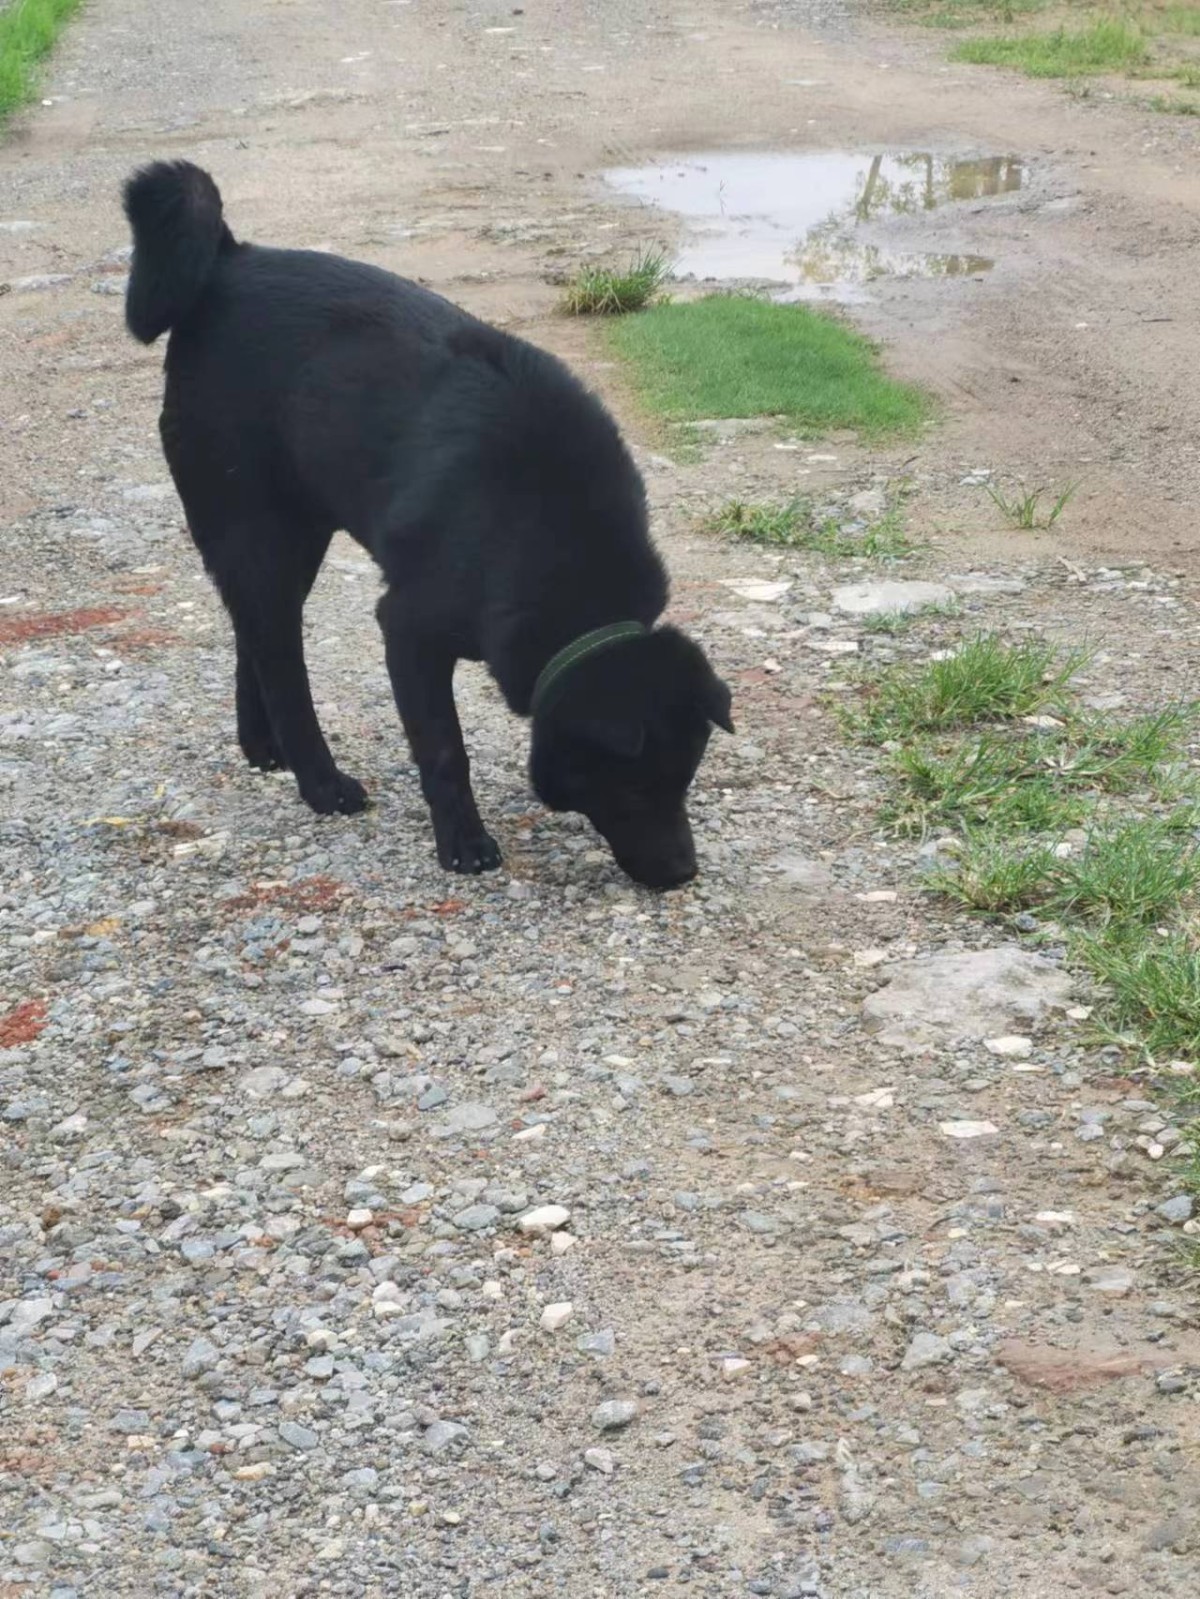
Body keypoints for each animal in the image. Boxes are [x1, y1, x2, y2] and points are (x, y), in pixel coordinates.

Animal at [122, 161, 732, 889]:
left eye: (685, 779)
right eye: (636, 784)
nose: (682, 871)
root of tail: (226, 264)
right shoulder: (409, 630)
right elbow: (444, 749)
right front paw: (463, 841)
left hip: (292, 539)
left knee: (255, 637)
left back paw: (263, 746)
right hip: (254, 531)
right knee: (280, 660)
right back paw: (321, 783)